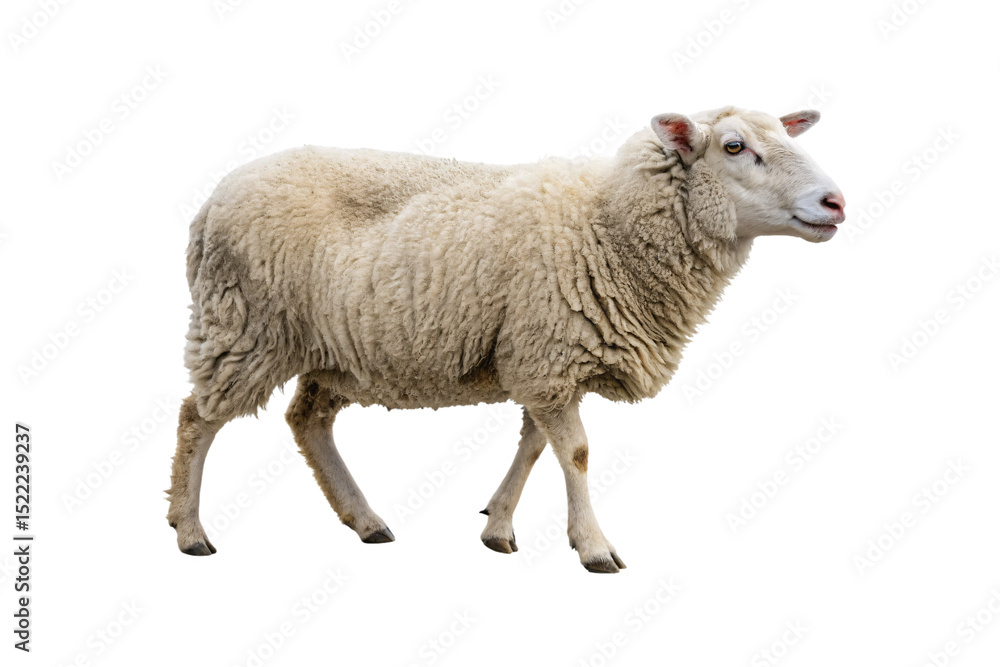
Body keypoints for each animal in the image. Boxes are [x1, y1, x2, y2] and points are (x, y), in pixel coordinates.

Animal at [167, 106, 845, 573]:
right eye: (735, 146)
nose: (835, 201)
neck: (608, 224)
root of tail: (209, 204)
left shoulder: (540, 359)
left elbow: (536, 445)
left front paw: (498, 527)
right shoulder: (546, 353)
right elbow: (576, 453)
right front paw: (594, 547)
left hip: (335, 351)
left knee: (307, 420)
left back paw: (365, 520)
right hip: (245, 325)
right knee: (197, 418)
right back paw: (189, 529)